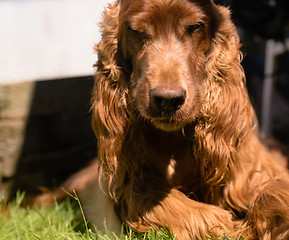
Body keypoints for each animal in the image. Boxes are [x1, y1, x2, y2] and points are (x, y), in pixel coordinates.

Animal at [32, 0, 288, 239]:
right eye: (136, 30)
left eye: (195, 27)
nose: (168, 100)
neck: (175, 141)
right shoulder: (128, 183)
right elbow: (153, 193)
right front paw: (227, 226)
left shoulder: (254, 172)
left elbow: (273, 191)